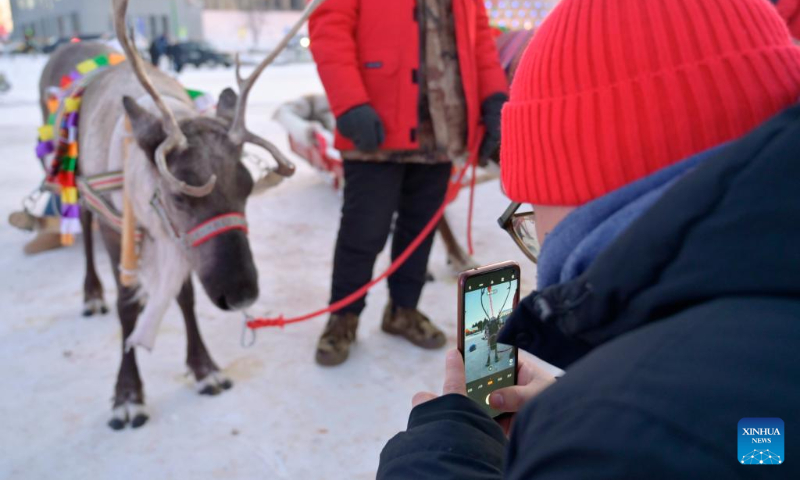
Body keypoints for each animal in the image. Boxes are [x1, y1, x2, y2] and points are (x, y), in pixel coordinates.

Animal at [36, 0, 320, 429]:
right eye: (179, 194)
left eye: (248, 186)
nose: (241, 293)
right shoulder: (117, 228)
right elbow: (127, 307)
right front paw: (128, 395)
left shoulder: (179, 240)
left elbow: (185, 298)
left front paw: (205, 369)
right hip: (76, 181)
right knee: (82, 227)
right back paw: (92, 295)